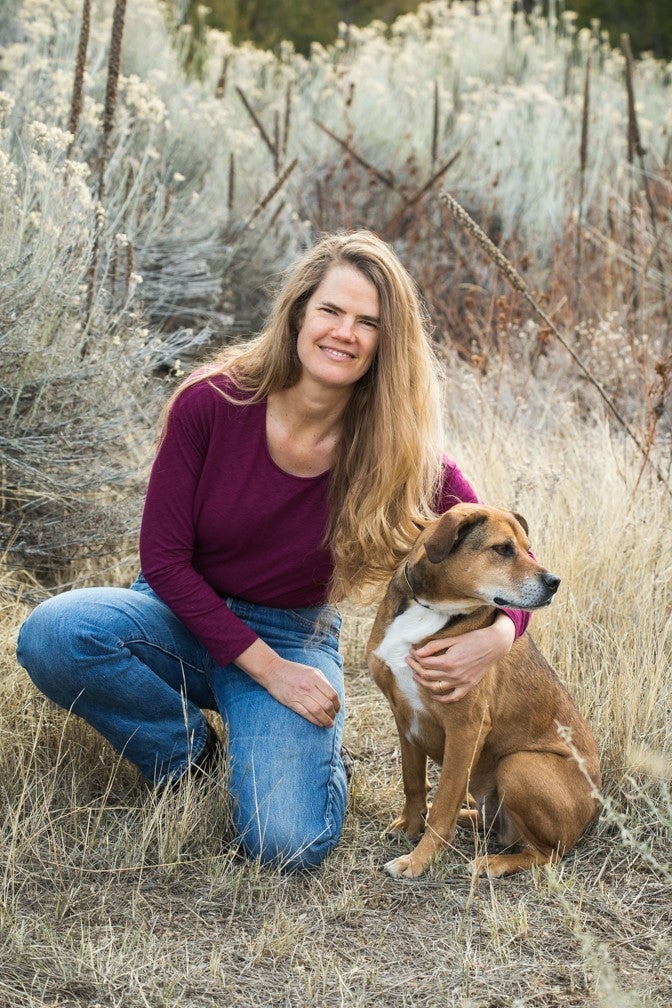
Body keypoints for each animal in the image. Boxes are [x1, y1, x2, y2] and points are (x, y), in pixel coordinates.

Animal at [364, 501, 600, 874]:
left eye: (527, 548)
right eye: (502, 549)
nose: (555, 582)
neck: (431, 610)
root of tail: (595, 812)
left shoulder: (466, 727)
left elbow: (443, 801)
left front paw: (418, 860)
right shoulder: (403, 716)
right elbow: (413, 781)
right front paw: (411, 825)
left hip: (519, 766)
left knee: (548, 854)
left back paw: (492, 863)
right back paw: (468, 817)